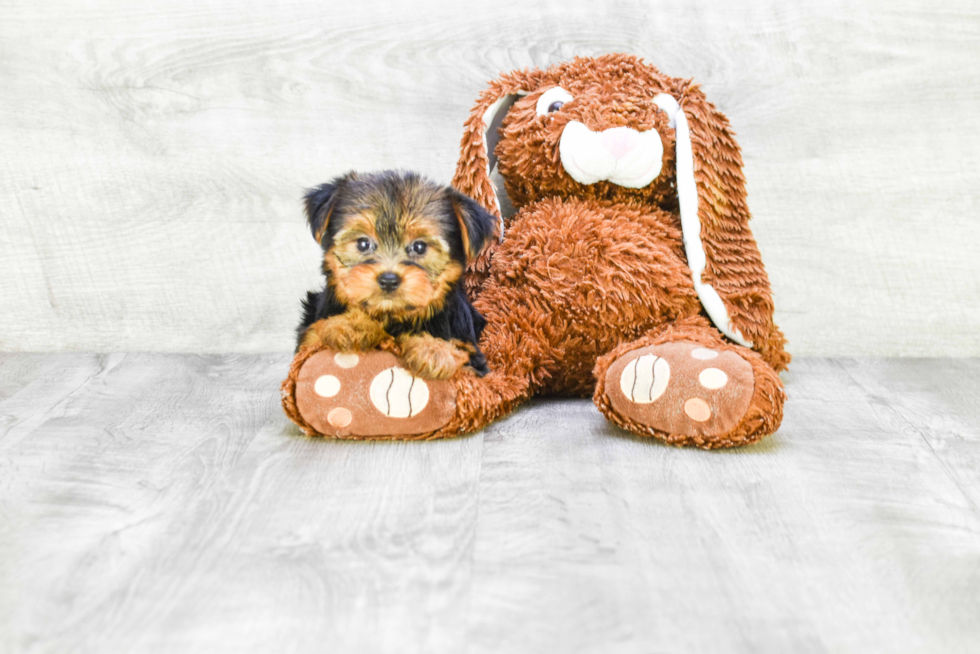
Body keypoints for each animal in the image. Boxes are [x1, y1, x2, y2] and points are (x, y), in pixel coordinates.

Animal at [294, 172, 498, 382]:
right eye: (362, 244)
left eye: (419, 247)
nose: (389, 280)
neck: (392, 316)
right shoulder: (309, 338)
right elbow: (316, 335)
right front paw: (352, 323)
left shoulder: (471, 352)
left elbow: (461, 350)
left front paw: (434, 349)